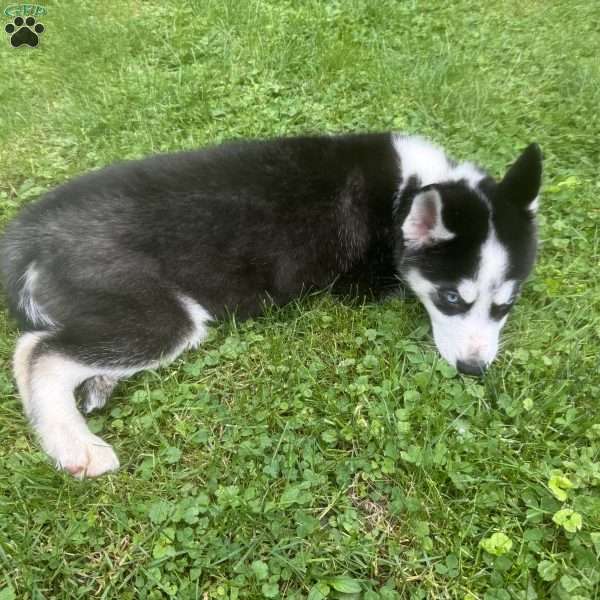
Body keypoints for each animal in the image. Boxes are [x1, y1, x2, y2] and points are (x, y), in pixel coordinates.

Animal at [0, 134, 540, 476]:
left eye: (506, 305)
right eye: (451, 298)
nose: (473, 369)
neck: (405, 192)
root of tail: (32, 228)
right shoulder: (366, 284)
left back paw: (97, 384)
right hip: (164, 317)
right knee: (37, 352)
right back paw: (75, 445)